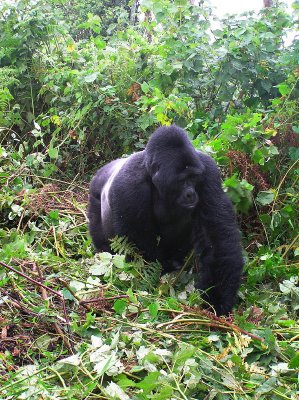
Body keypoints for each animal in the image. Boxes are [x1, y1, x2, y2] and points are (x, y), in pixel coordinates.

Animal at [88, 126, 244, 316]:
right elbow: (139, 249)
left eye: (193, 178)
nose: (191, 194)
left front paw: (217, 299)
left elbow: (217, 239)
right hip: (95, 190)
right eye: (182, 180)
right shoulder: (129, 185)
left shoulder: (208, 172)